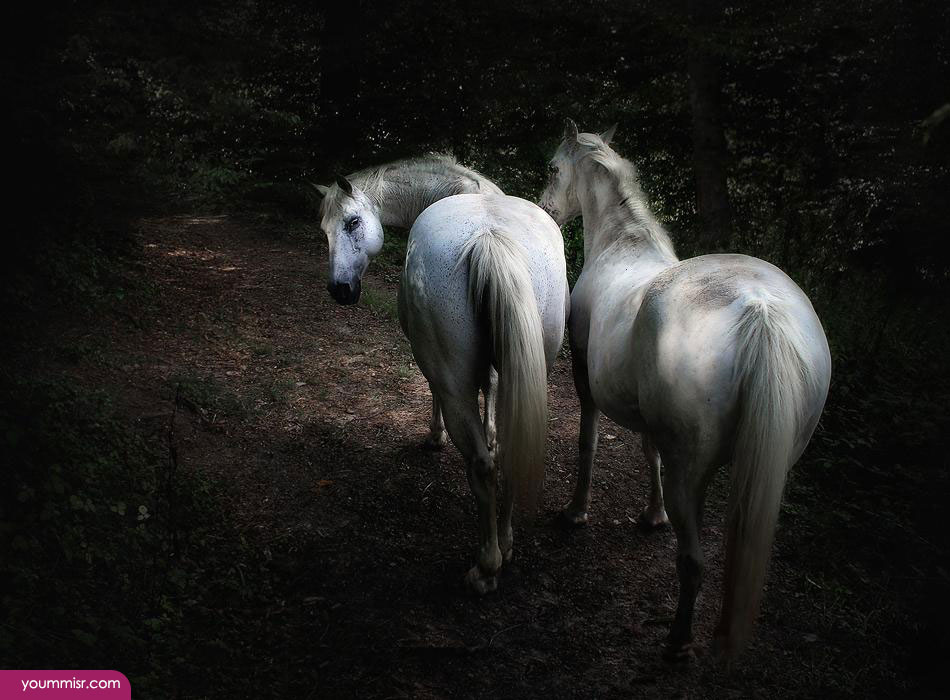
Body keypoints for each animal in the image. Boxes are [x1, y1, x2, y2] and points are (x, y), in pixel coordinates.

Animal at [315, 156, 569, 593]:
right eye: (324, 230)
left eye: (352, 222)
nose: (340, 290)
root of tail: (489, 238)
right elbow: (494, 413)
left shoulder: (435, 366)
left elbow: (435, 393)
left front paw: (435, 437)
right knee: (509, 452)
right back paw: (506, 544)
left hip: (452, 381)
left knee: (481, 464)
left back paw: (486, 568)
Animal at [538, 120, 831, 659]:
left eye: (552, 167)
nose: (546, 208)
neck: (622, 246)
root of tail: (760, 309)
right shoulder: (649, 419)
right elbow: (647, 451)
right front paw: (653, 516)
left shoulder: (586, 381)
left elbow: (589, 443)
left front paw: (575, 512)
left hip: (690, 470)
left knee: (692, 562)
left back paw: (677, 639)